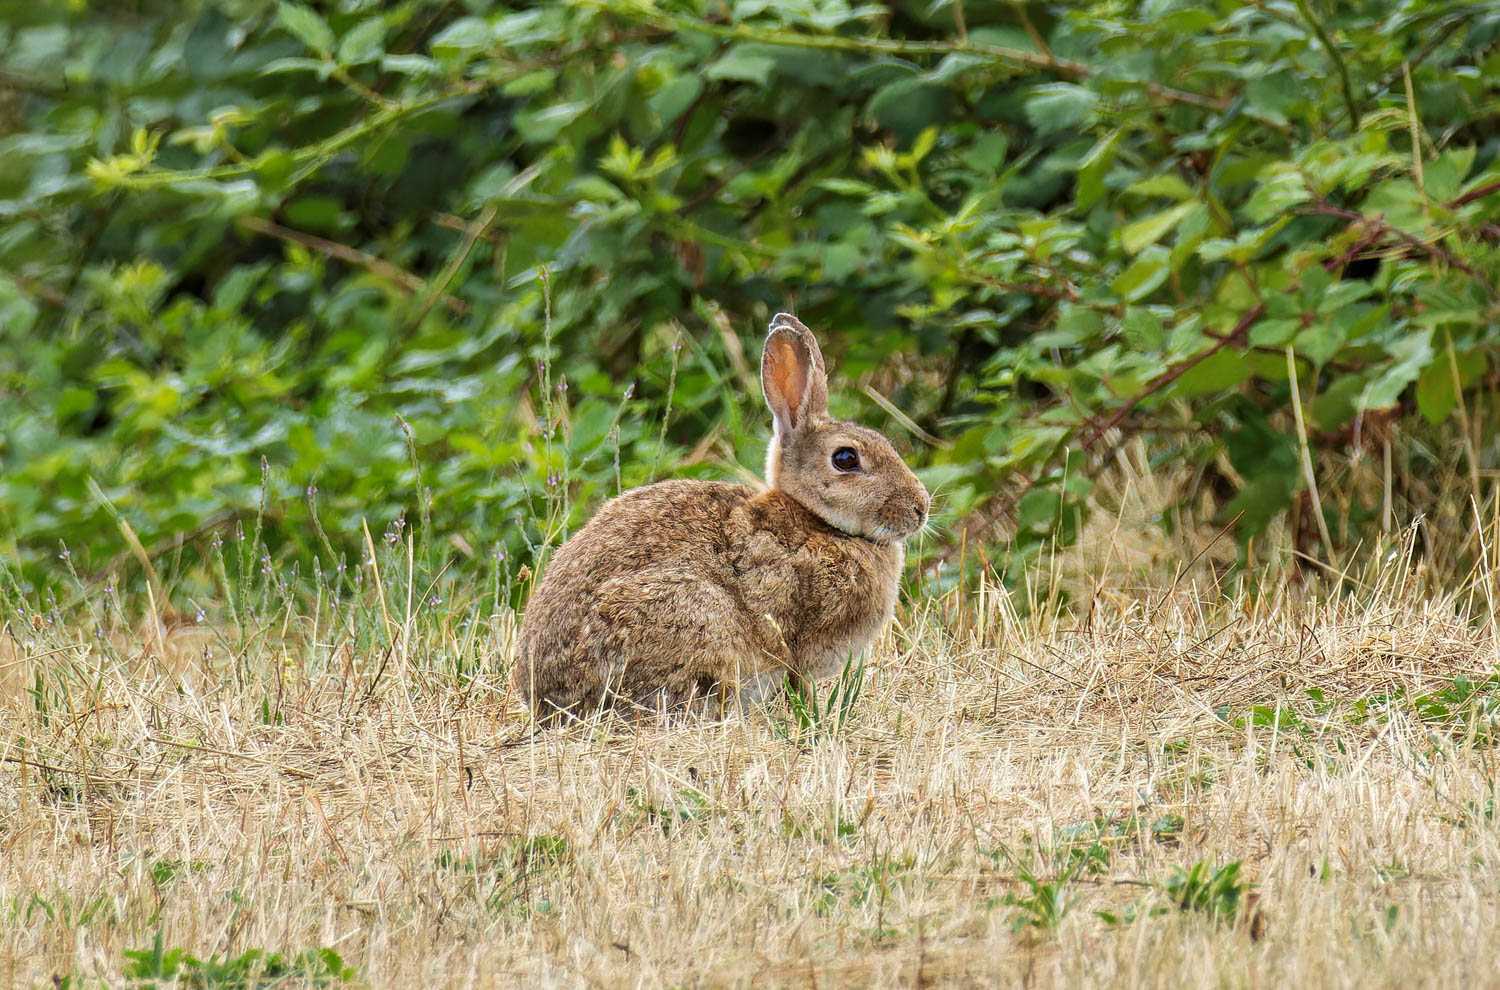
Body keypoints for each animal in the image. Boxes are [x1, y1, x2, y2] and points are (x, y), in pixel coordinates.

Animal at [522, 315, 930, 720]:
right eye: (845, 458)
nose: (921, 508)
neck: (818, 522)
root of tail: (550, 700)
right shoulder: (799, 641)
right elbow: (798, 681)